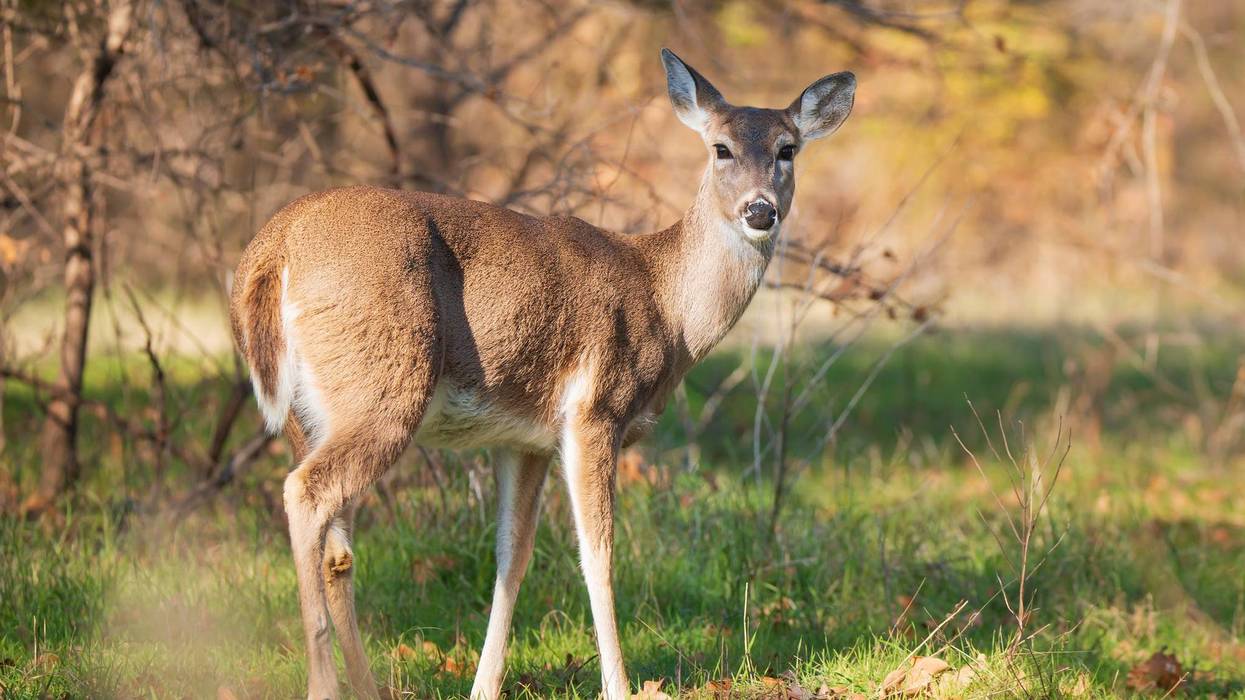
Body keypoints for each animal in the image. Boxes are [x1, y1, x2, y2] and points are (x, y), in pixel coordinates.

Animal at [229, 48, 855, 700]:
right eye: (721, 148)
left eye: (788, 149)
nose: (760, 210)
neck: (667, 305)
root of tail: (272, 250)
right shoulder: (595, 408)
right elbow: (598, 552)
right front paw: (618, 686)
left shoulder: (523, 438)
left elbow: (512, 555)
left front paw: (483, 687)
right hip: (384, 383)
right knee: (307, 493)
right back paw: (324, 682)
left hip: (310, 412)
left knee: (337, 543)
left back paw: (367, 686)